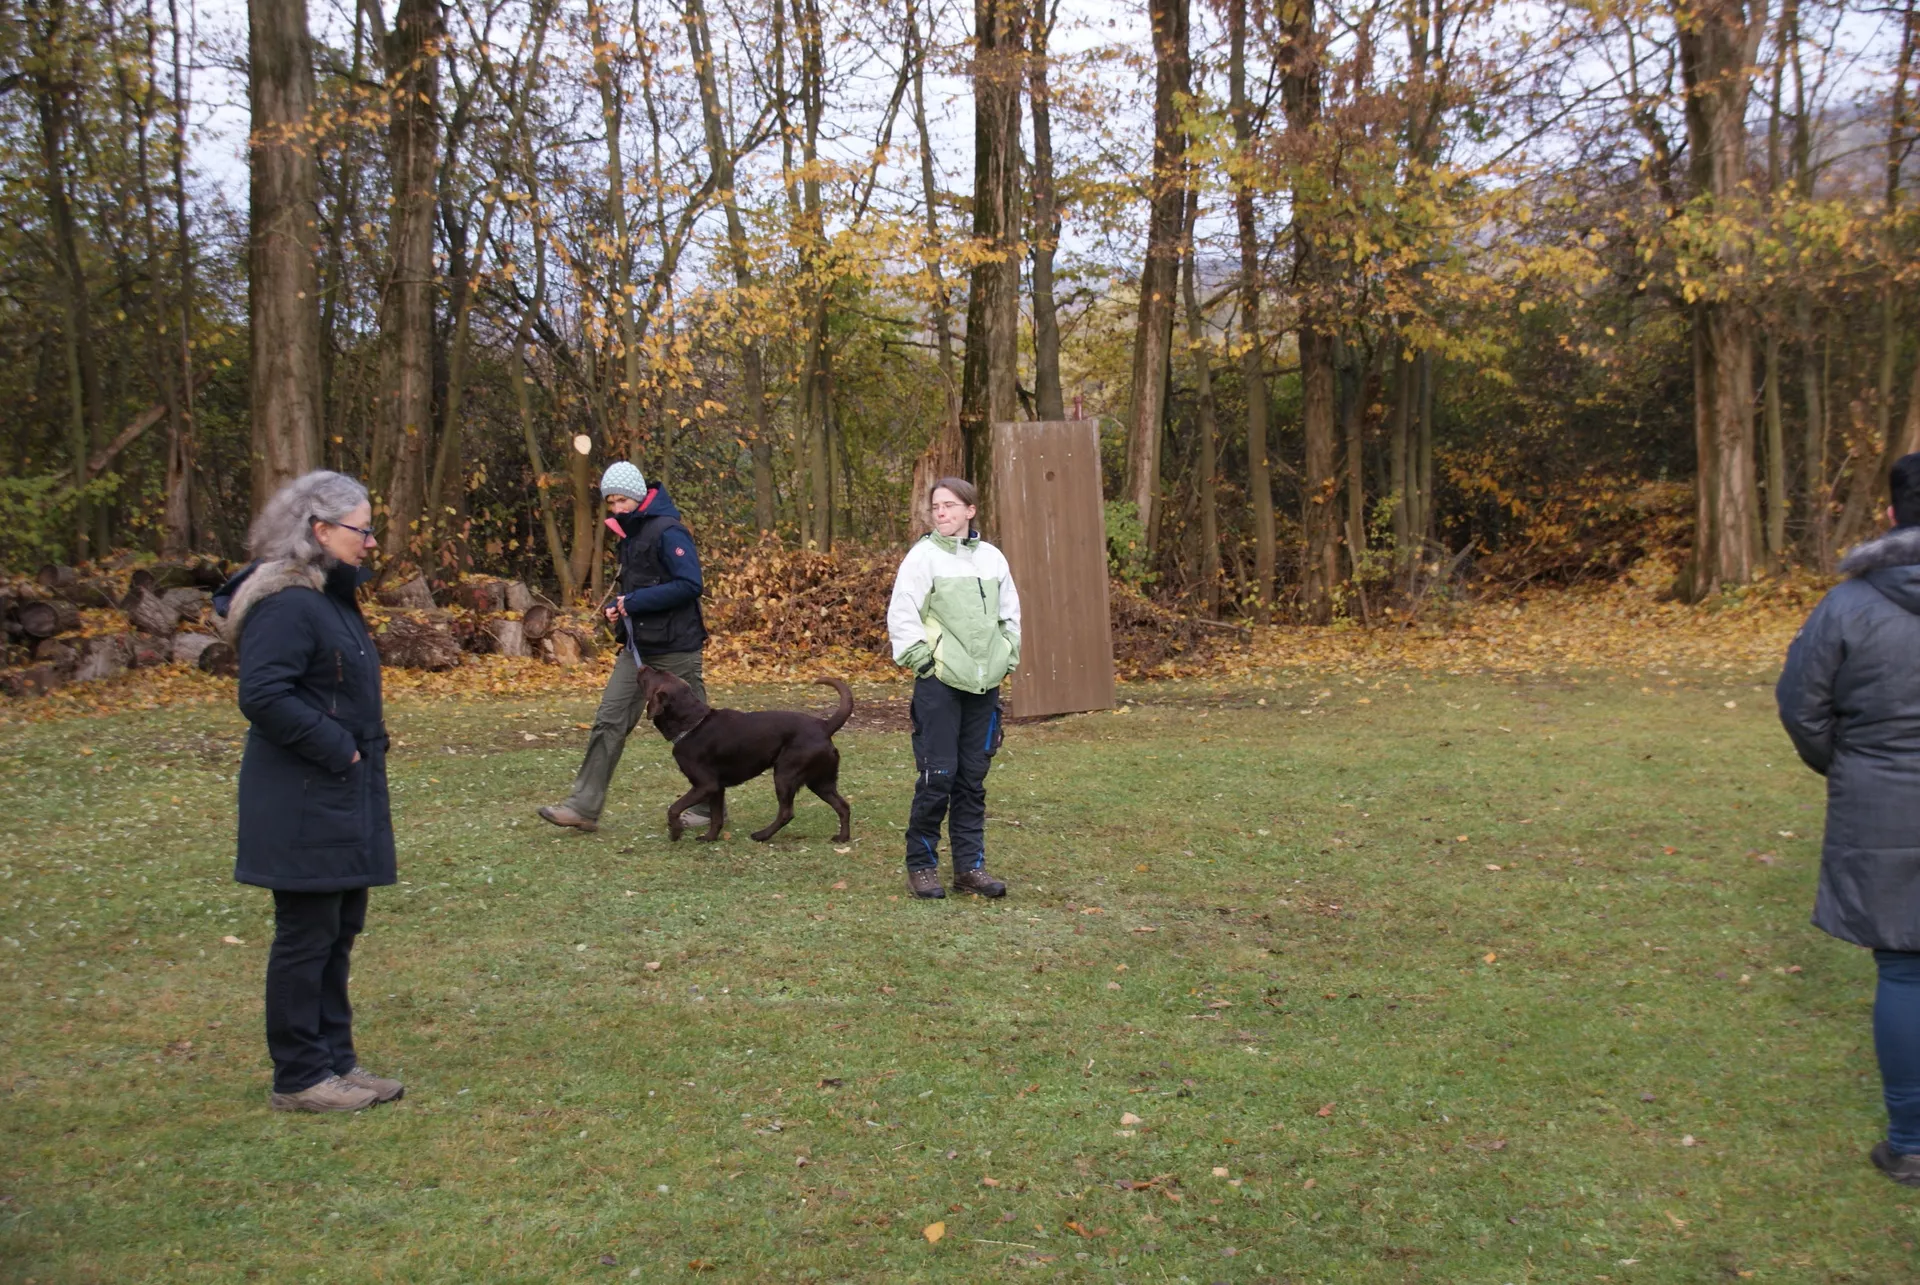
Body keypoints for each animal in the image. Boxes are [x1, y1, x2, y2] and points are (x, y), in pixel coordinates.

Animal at [636, 666, 853, 844]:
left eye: (656, 673)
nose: (642, 666)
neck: (692, 724)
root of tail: (824, 725)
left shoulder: (705, 785)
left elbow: (673, 808)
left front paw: (675, 832)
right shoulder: (717, 788)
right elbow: (716, 818)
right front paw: (709, 838)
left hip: (785, 775)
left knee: (786, 812)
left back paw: (762, 835)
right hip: (820, 782)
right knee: (843, 806)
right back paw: (842, 838)